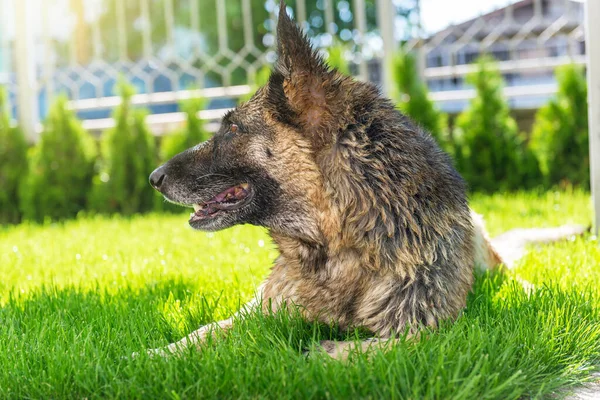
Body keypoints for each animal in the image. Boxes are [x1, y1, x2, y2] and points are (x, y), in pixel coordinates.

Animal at [146, 1, 584, 360]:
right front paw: (148, 357)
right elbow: (204, 331)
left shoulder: (429, 330)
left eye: (233, 129)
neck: (336, 242)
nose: (154, 177)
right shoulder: (261, 307)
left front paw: (316, 351)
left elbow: (353, 348)